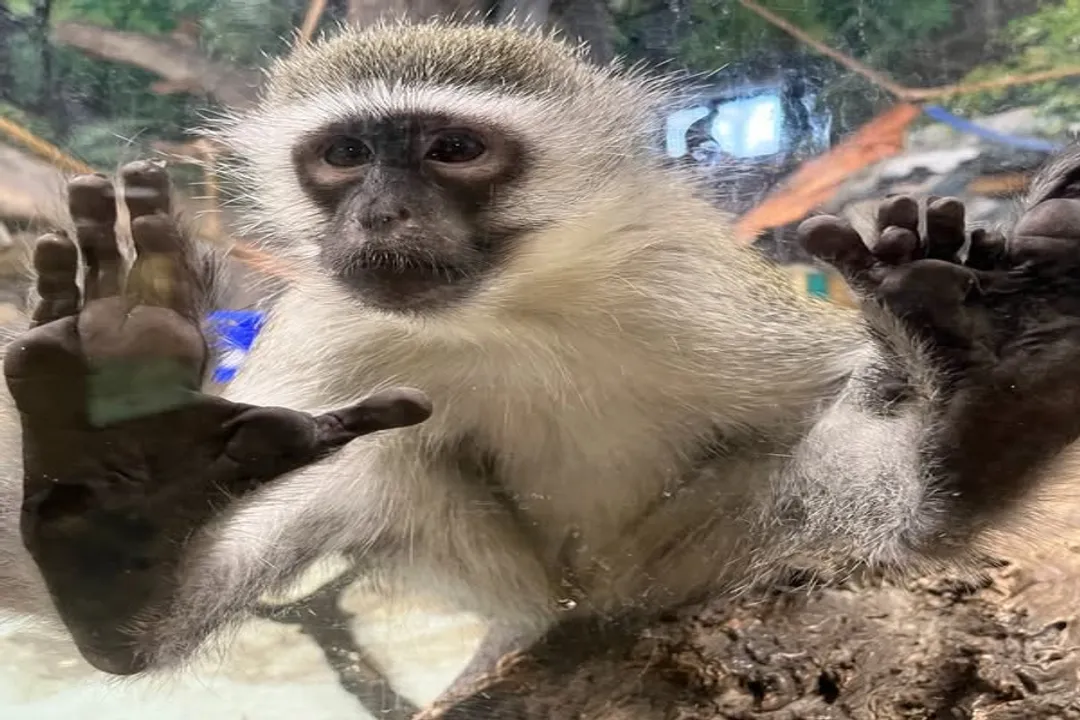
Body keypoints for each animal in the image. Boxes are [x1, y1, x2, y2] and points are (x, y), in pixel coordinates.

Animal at [4, 18, 1080, 710]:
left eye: (451, 147)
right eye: (346, 155)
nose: (381, 215)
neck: (505, 309)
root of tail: (589, 596)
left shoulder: (694, 285)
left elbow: (841, 390)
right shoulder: (327, 332)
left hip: (672, 558)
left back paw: (986, 416)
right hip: (521, 572)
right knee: (373, 462)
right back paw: (121, 528)